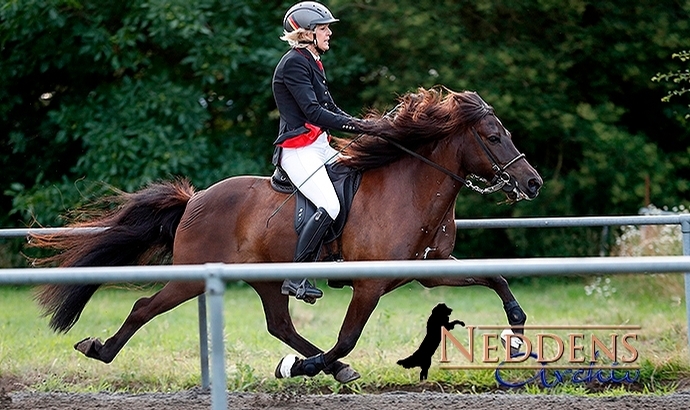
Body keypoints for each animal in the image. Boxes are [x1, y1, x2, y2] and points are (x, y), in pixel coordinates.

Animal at [29, 87, 540, 384]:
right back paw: (100, 349)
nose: (532, 183)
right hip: (194, 276)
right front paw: (307, 368)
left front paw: (516, 335)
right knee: (143, 306)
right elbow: (348, 337)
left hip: (267, 279)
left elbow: (496, 279)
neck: (411, 188)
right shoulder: (370, 284)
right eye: (494, 136)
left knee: (281, 325)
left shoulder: (429, 271)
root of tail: (194, 200)